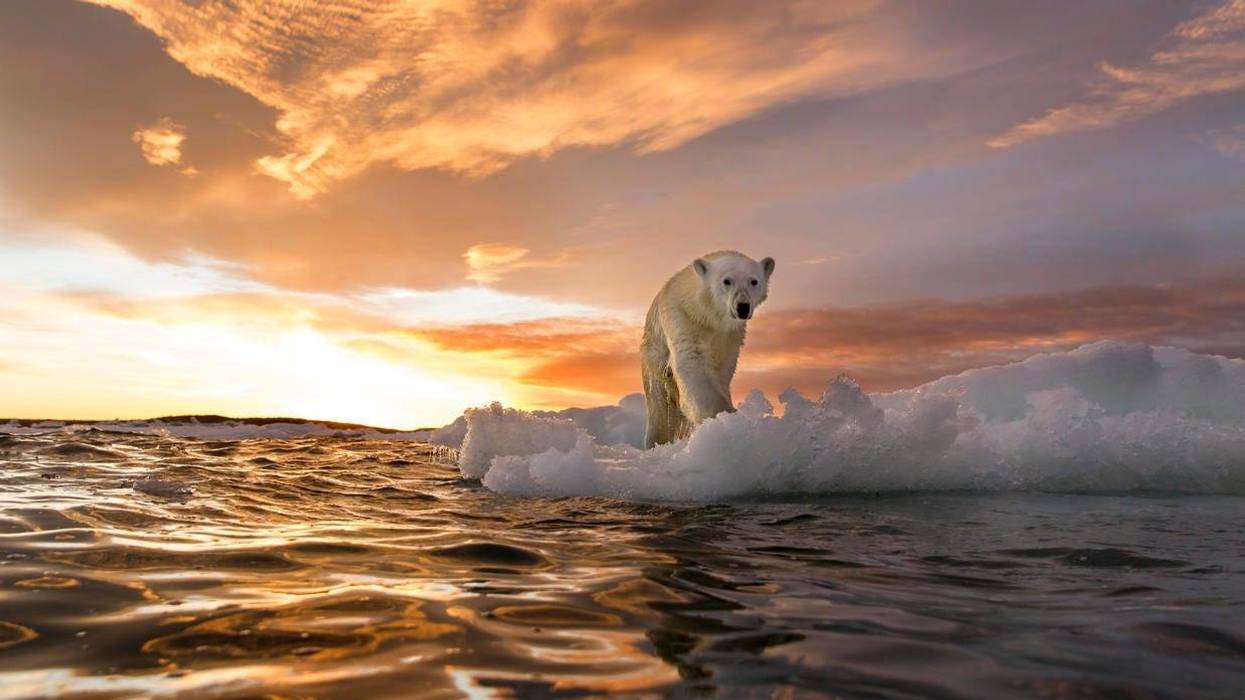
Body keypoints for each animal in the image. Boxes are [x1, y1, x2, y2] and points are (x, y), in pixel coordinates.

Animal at [641, 250, 775, 448]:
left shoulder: (730, 336)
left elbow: (722, 369)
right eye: (727, 281)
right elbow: (692, 363)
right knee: (660, 410)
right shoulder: (683, 318)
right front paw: (725, 419)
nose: (742, 307)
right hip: (654, 360)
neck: (708, 316)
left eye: (754, 281)